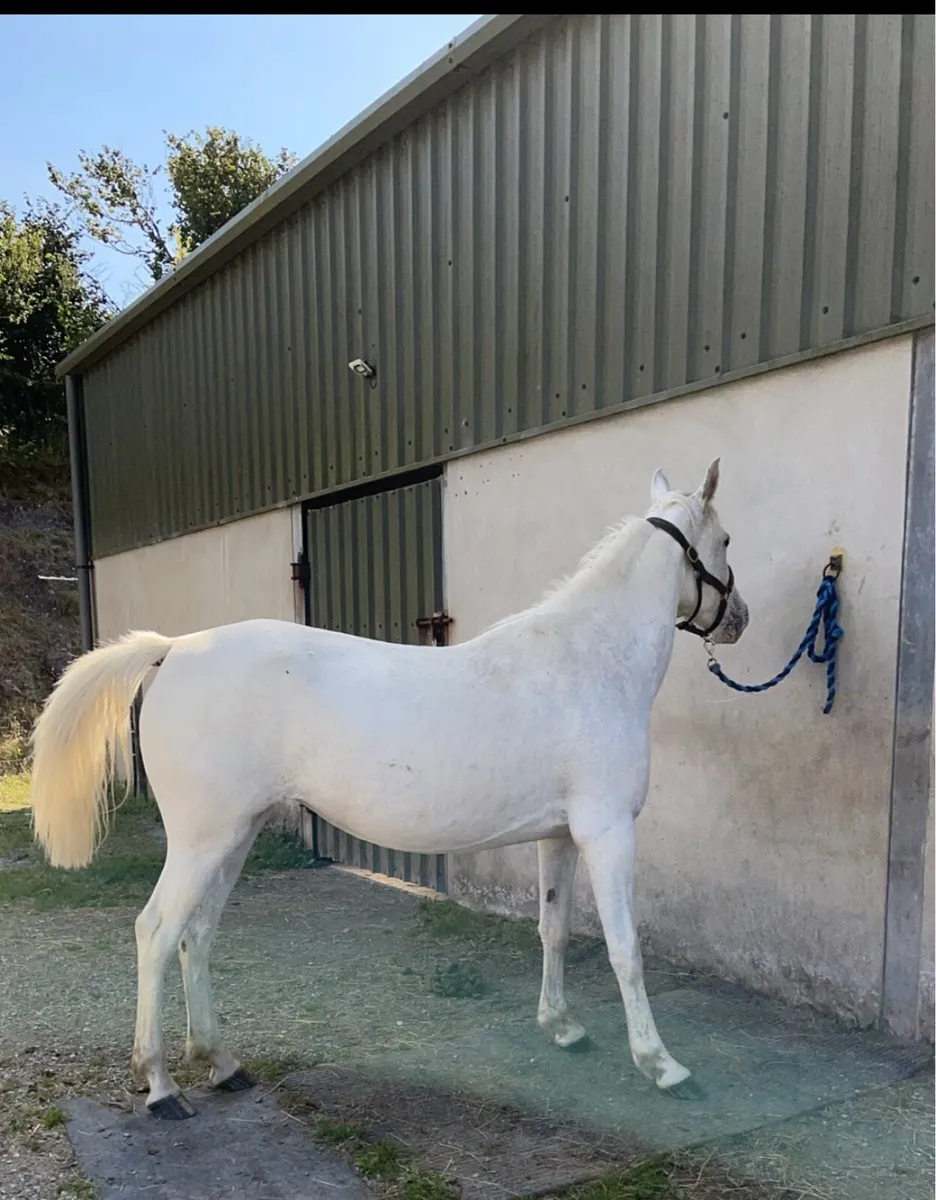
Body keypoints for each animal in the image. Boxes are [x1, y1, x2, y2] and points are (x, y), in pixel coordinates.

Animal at [30, 459, 747, 1119]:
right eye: (725, 540)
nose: (738, 618)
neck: (588, 661)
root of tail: (174, 648)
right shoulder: (608, 830)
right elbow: (627, 949)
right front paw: (663, 1066)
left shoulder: (560, 836)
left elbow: (555, 928)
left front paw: (563, 1027)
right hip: (203, 840)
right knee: (156, 932)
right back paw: (159, 1086)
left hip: (234, 836)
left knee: (196, 935)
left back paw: (223, 1064)